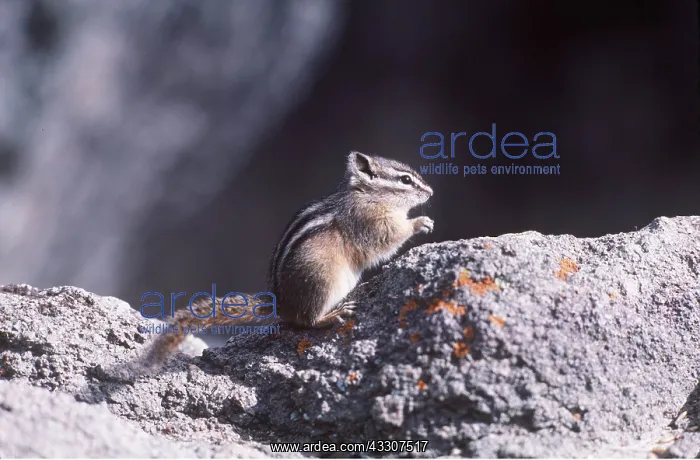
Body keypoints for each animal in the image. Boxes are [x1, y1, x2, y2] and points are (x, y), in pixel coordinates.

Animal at [136, 151, 434, 369]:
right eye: (405, 180)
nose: (430, 192)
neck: (366, 195)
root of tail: (281, 305)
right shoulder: (370, 223)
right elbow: (389, 238)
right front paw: (419, 222)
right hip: (322, 282)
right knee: (307, 321)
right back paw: (332, 315)